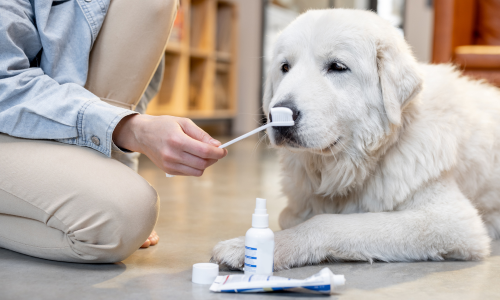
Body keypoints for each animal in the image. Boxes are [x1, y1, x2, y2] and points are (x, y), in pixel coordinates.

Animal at [211, 8, 500, 270]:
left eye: (338, 67)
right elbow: (290, 216)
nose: (277, 115)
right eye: (285, 67)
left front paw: (257, 246)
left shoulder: (452, 220)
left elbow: (326, 222)